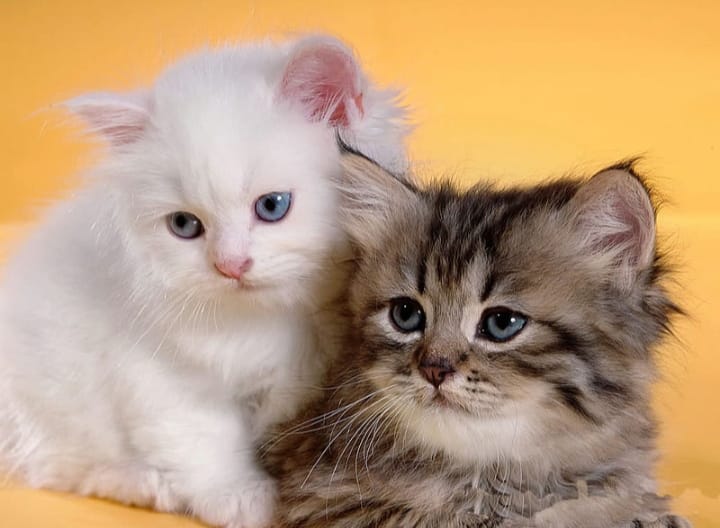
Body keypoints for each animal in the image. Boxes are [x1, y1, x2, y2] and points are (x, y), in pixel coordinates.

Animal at [0, 35, 404, 524]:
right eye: (185, 225)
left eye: (272, 206)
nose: (230, 264)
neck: (282, 318)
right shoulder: (156, 369)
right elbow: (203, 440)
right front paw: (244, 499)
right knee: (60, 467)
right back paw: (145, 485)